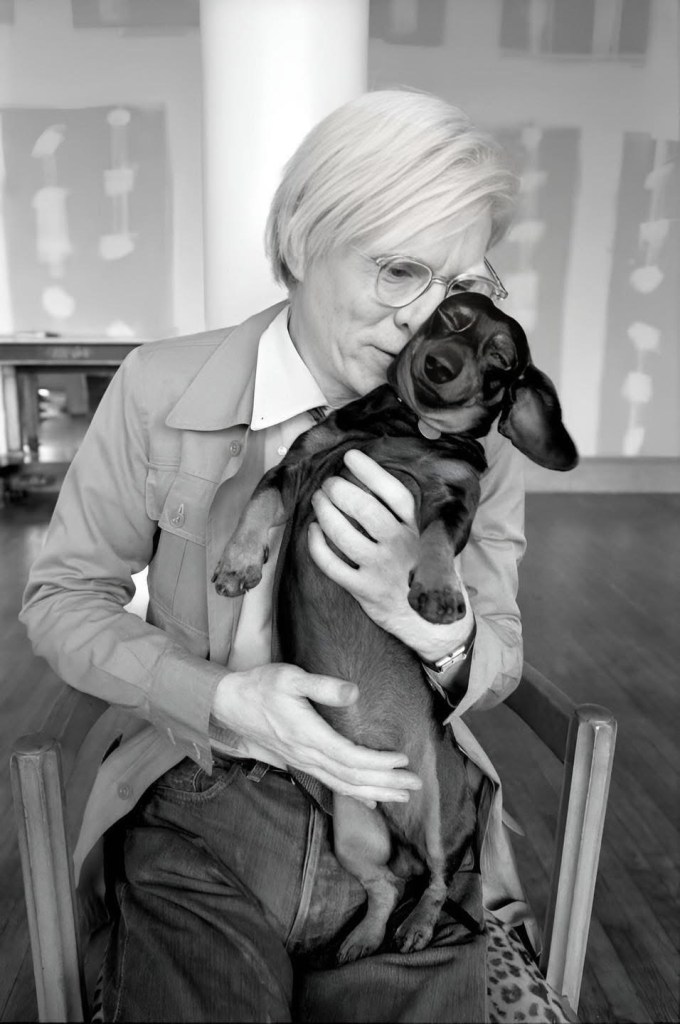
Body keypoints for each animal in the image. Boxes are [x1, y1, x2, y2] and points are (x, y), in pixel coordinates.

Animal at [212, 292, 578, 963]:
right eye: (454, 315)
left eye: (501, 359)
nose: (440, 364)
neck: (406, 428)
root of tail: (392, 806)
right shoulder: (301, 462)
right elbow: (259, 501)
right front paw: (238, 563)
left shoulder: (454, 500)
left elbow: (432, 538)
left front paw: (437, 591)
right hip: (355, 830)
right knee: (385, 885)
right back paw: (363, 938)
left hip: (439, 814)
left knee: (436, 880)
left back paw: (416, 929)